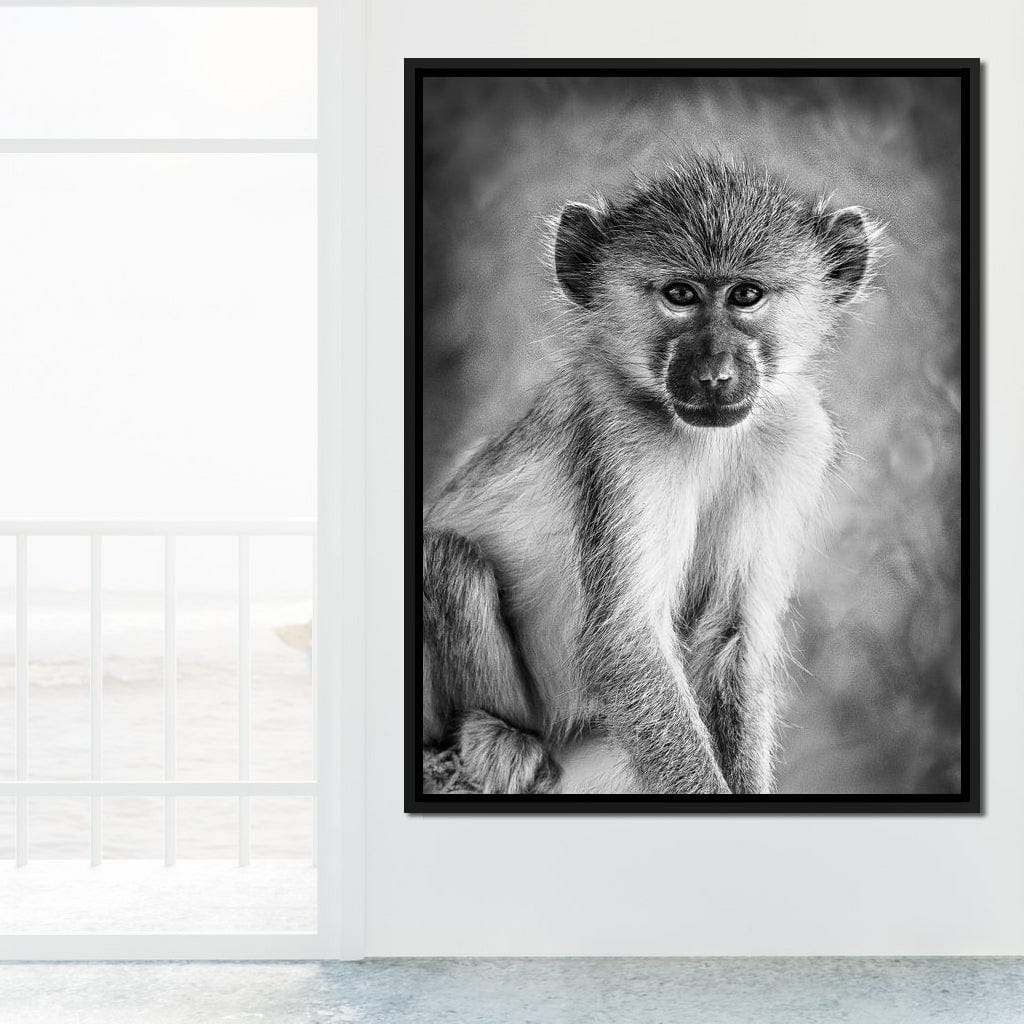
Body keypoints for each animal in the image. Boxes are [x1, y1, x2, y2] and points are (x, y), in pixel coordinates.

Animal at [421, 155, 881, 795]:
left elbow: (734, 634)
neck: (710, 441)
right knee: (446, 560)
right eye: (680, 295)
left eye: (746, 294)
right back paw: (492, 733)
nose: (714, 374)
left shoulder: (797, 437)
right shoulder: (623, 436)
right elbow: (628, 640)